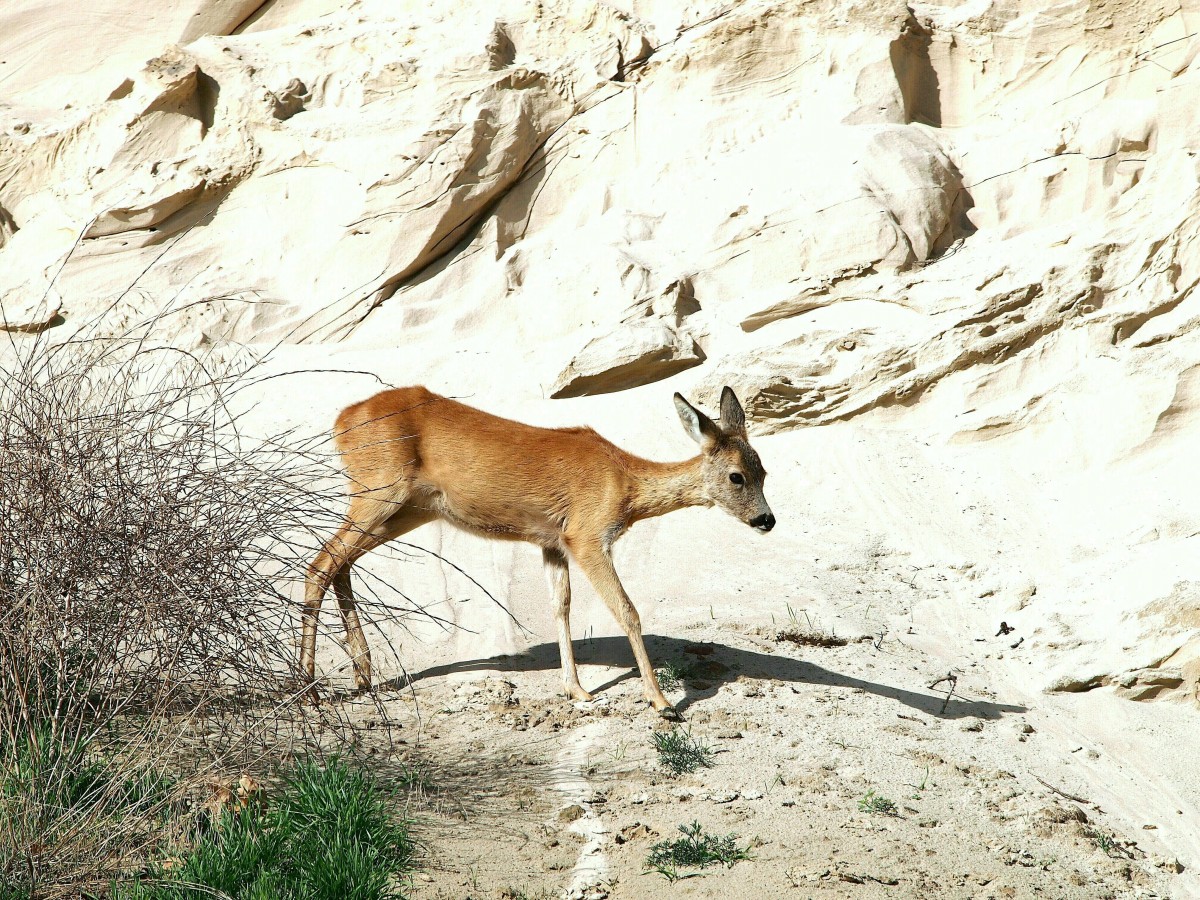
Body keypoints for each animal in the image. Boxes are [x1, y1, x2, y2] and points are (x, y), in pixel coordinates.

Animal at [304, 386, 772, 720]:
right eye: (736, 476)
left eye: (764, 471)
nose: (767, 520)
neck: (624, 486)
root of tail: (342, 420)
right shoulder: (587, 535)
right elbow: (626, 610)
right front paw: (662, 703)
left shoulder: (552, 542)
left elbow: (560, 606)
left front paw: (576, 689)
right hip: (379, 490)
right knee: (321, 563)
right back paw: (308, 688)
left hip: (408, 509)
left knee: (340, 563)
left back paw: (363, 675)